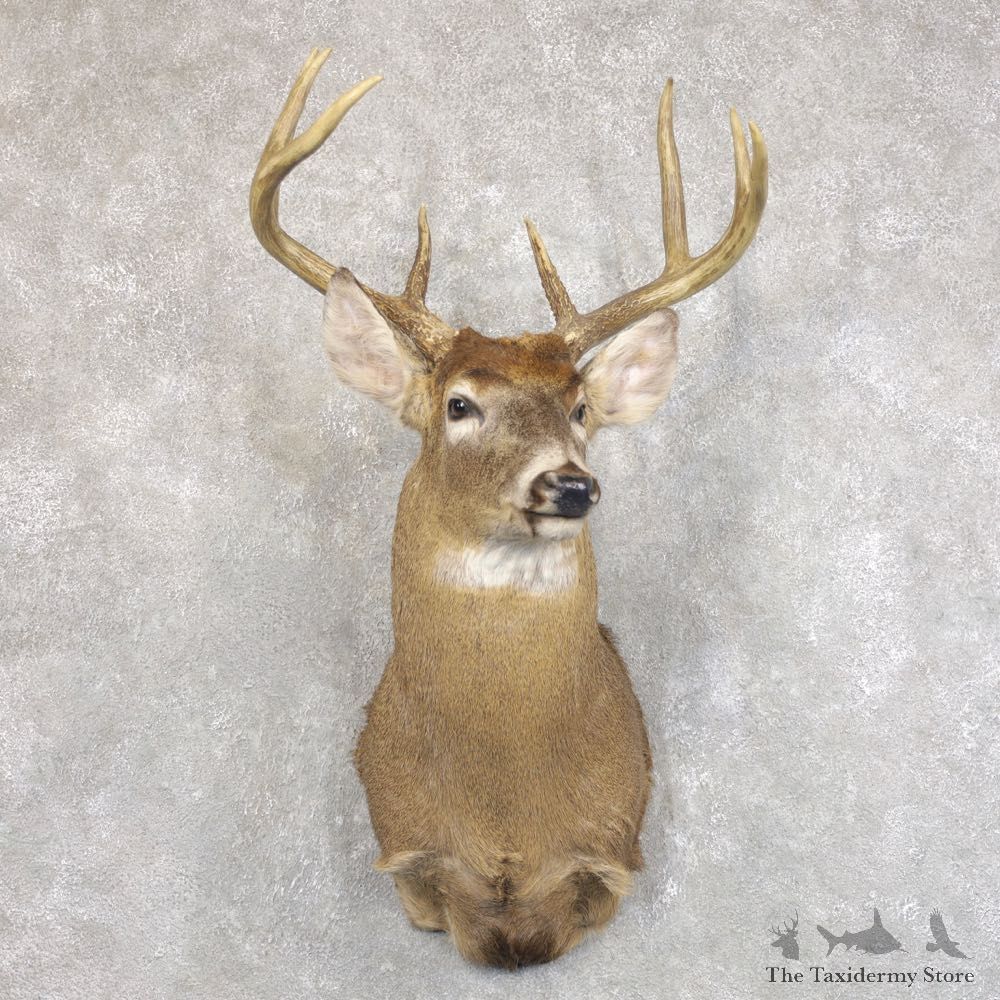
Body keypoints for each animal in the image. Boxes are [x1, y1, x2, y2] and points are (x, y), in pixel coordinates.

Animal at [250, 48, 766, 970]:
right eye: (459, 404)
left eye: (581, 407)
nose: (570, 485)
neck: (505, 820)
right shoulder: (407, 852)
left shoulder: (612, 853)